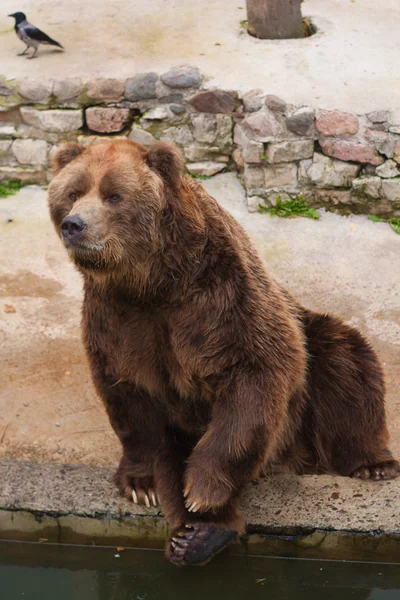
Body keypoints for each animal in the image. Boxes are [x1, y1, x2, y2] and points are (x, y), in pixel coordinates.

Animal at [48, 139, 398, 568]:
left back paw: (372, 464)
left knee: (344, 365)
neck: (151, 282)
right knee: (171, 455)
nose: (74, 224)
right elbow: (128, 396)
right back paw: (195, 536)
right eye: (73, 193)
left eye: (114, 195)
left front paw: (202, 491)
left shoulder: (218, 299)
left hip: (310, 357)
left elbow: (255, 375)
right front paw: (141, 484)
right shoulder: (118, 320)